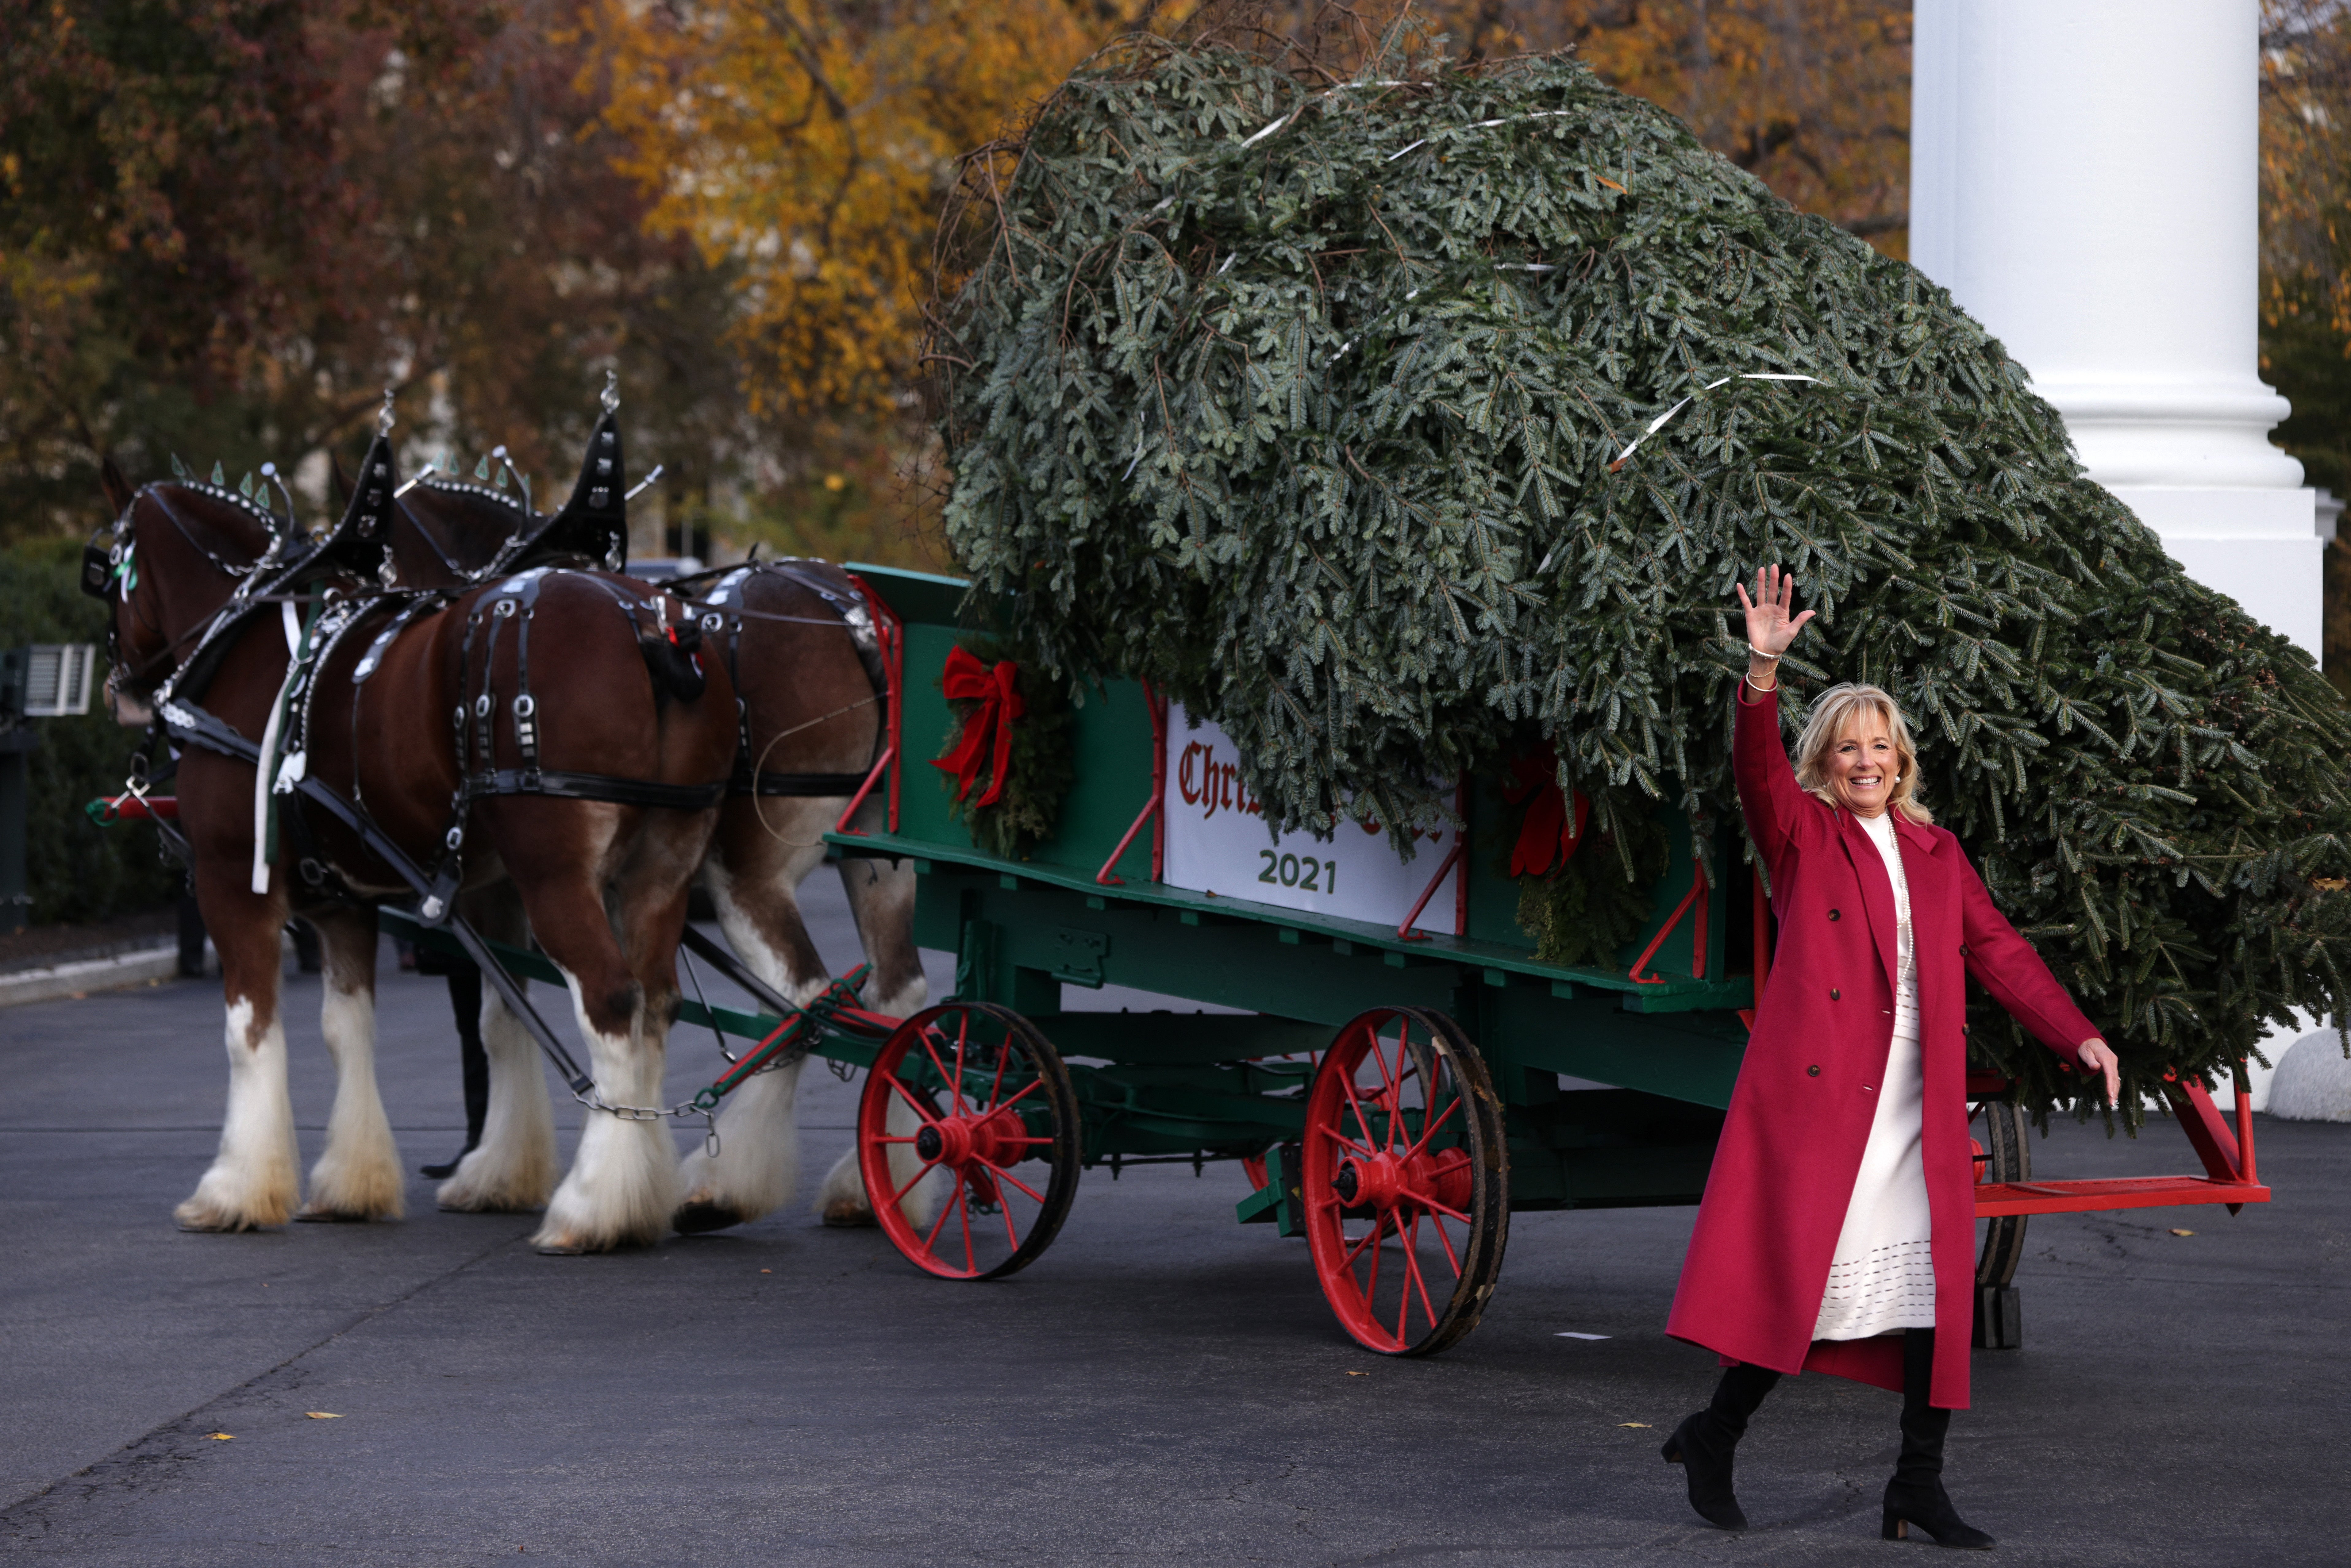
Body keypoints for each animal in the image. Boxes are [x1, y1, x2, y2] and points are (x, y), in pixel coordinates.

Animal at [96, 435, 738, 1260]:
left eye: (103, 565)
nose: (121, 687)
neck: (248, 645)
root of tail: (651, 626)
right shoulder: (347, 900)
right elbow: (359, 1028)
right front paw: (360, 1184)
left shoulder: (233, 881)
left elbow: (250, 1031)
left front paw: (235, 1190)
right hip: (659, 872)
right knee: (656, 1005)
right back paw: (645, 1192)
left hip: (558, 878)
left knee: (610, 1000)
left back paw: (594, 1208)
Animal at [388, 470, 926, 1241]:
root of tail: (851, 618)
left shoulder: (515, 882)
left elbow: (505, 1009)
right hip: (878, 864)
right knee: (897, 996)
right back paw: (875, 1185)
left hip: (749, 871)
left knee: (803, 1000)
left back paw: (725, 1186)